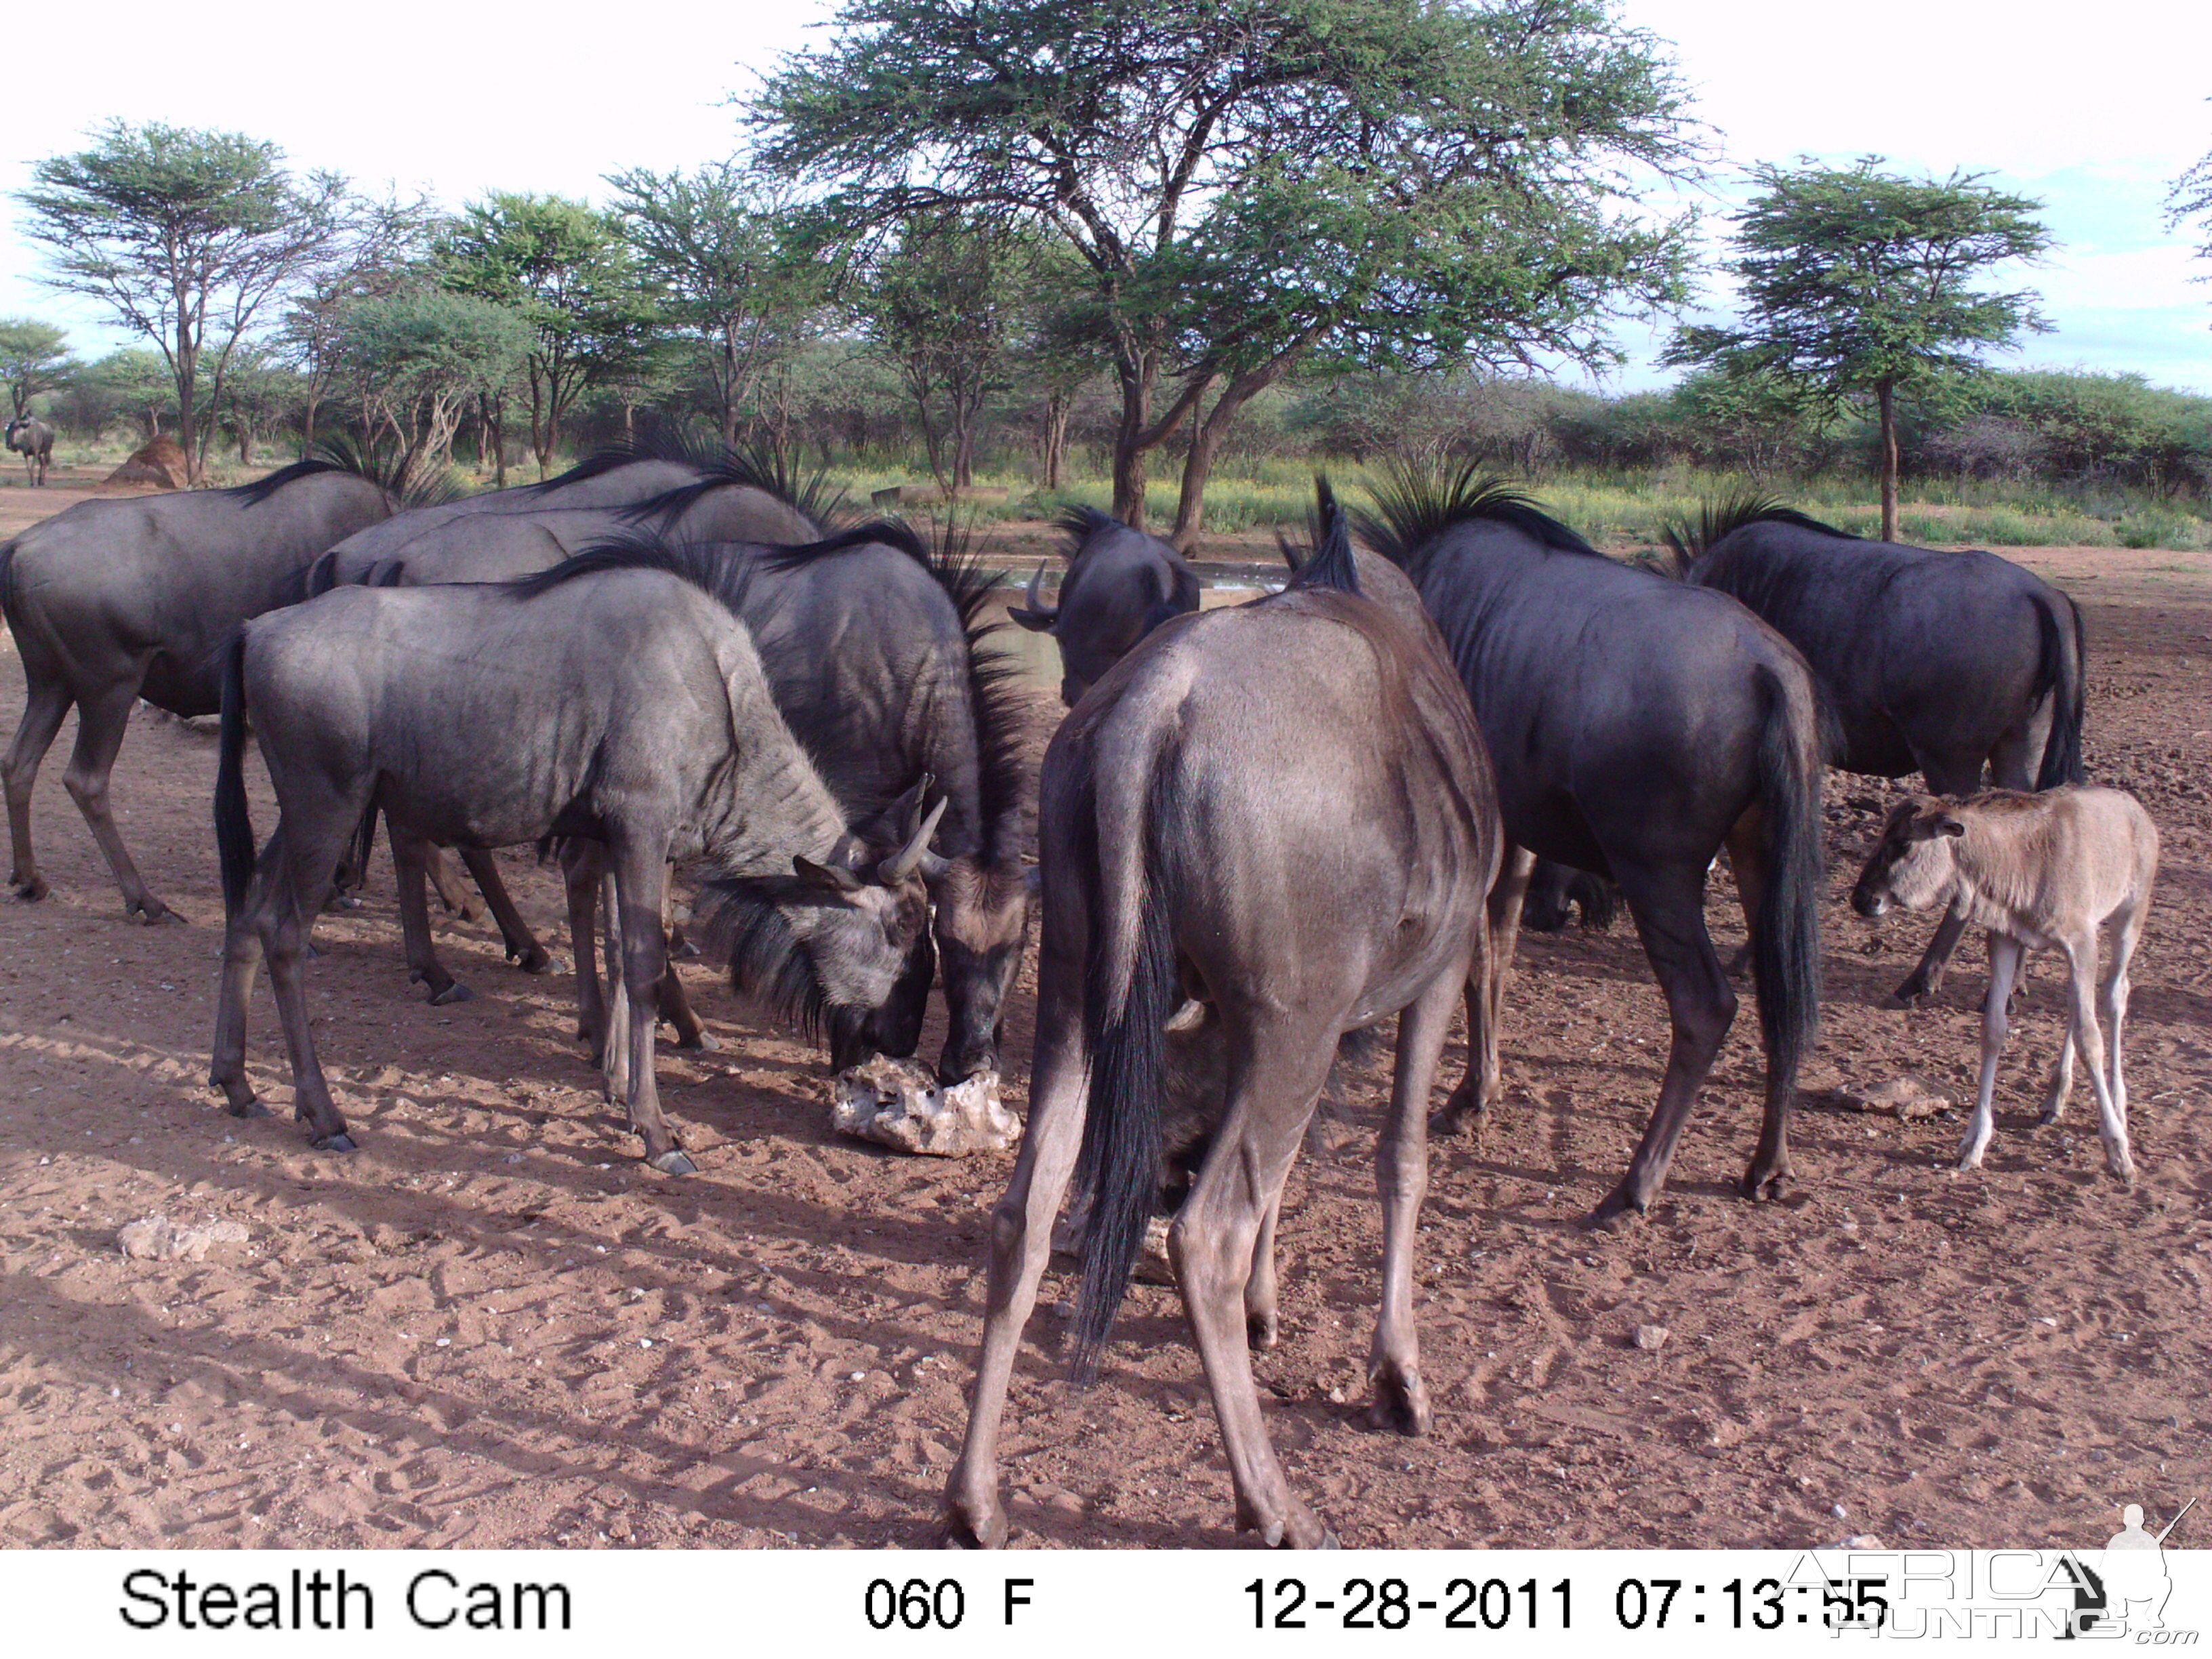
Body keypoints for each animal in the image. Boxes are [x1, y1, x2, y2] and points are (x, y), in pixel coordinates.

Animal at [1849, 787, 2158, 1185]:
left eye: (1903, 844)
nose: (1862, 899)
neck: (2021, 864)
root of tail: (2139, 812)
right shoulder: (2005, 937)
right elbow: (1994, 1030)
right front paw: (1974, 1142)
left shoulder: (2082, 939)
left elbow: (2091, 1038)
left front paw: (2118, 1151)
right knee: (2074, 1007)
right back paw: (2055, 1097)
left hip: (2131, 913)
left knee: (2115, 994)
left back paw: (2118, 1104)